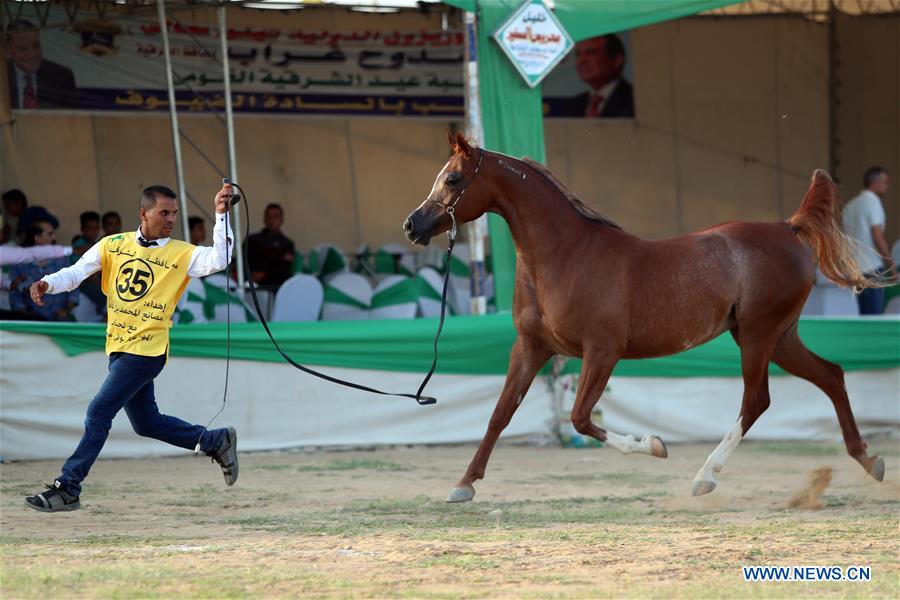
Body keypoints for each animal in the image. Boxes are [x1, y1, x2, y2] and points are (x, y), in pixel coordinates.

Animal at [403, 131, 885, 503]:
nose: (413, 225)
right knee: (832, 375)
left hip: (758, 336)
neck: (567, 256)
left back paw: (704, 478)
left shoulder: (602, 351)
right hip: (781, 337)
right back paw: (869, 459)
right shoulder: (532, 348)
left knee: (757, 400)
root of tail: (789, 228)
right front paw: (463, 484)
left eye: (453, 178)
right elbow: (500, 413)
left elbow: (581, 418)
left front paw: (654, 445)